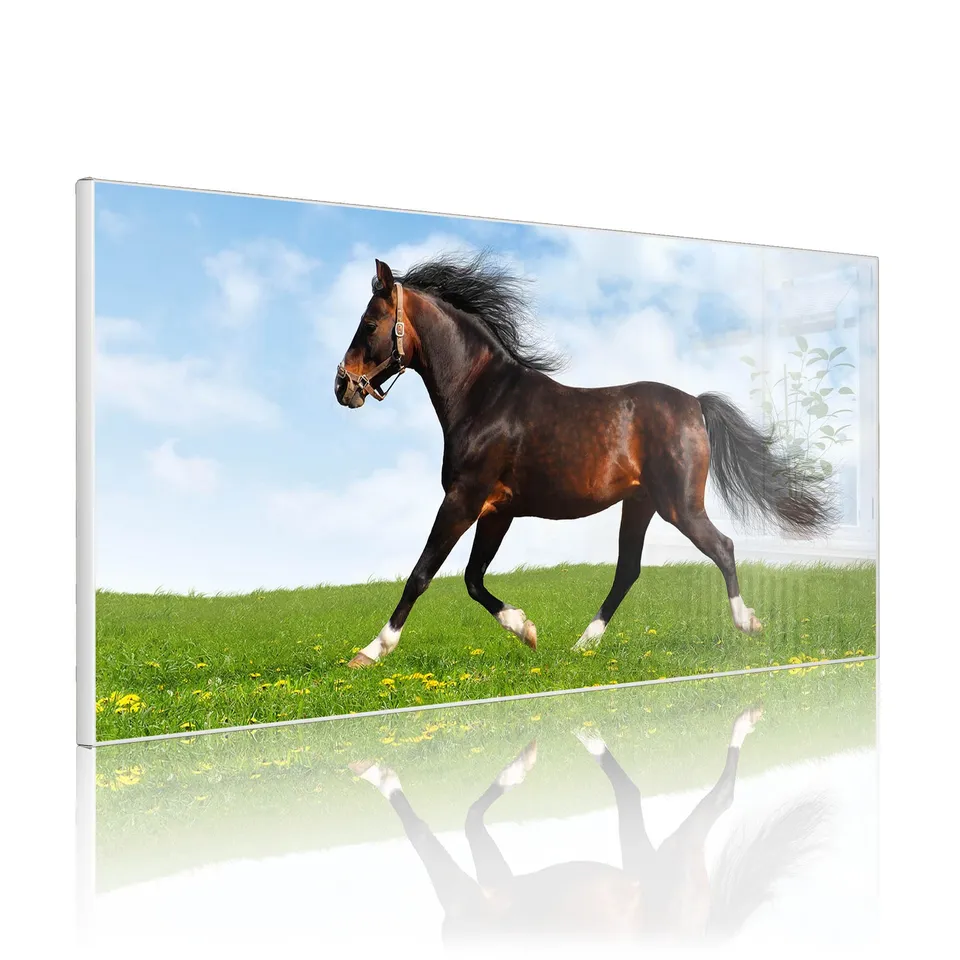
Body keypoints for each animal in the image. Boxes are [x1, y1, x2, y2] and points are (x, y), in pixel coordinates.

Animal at [335, 252, 836, 668]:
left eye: (370, 323)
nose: (342, 387)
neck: (484, 397)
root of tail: (695, 403)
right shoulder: (497, 511)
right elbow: (473, 579)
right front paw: (527, 630)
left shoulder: (463, 499)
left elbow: (421, 574)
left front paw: (370, 652)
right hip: (641, 504)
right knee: (628, 570)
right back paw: (582, 644)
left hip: (680, 506)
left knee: (722, 548)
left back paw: (747, 623)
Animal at [350, 706, 827, 944]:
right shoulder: (497, 883)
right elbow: (470, 819)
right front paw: (521, 765)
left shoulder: (467, 896)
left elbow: (425, 832)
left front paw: (377, 774)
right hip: (642, 864)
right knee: (630, 794)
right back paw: (591, 738)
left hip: (676, 860)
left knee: (721, 797)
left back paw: (745, 720)